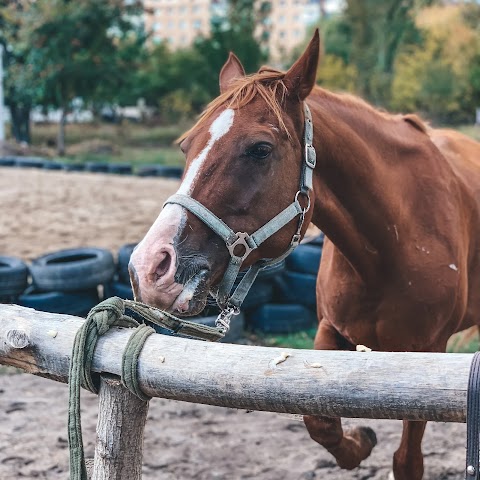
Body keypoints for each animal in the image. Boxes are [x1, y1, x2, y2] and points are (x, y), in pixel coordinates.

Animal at [129, 31, 480, 480]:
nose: (149, 268)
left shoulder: (428, 353)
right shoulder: (331, 329)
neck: (393, 245)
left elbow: (407, 459)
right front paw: (361, 441)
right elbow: (320, 422)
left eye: (260, 149)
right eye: (185, 145)